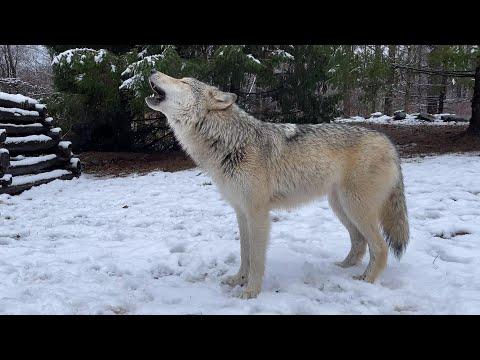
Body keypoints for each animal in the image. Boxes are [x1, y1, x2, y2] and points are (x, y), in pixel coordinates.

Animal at [146, 70, 408, 298]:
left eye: (183, 81)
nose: (152, 69)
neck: (230, 142)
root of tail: (389, 143)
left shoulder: (258, 213)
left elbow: (257, 259)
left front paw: (251, 292)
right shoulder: (241, 212)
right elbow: (245, 254)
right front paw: (238, 280)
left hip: (356, 208)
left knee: (380, 247)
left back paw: (367, 279)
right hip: (341, 207)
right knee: (360, 242)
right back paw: (344, 267)